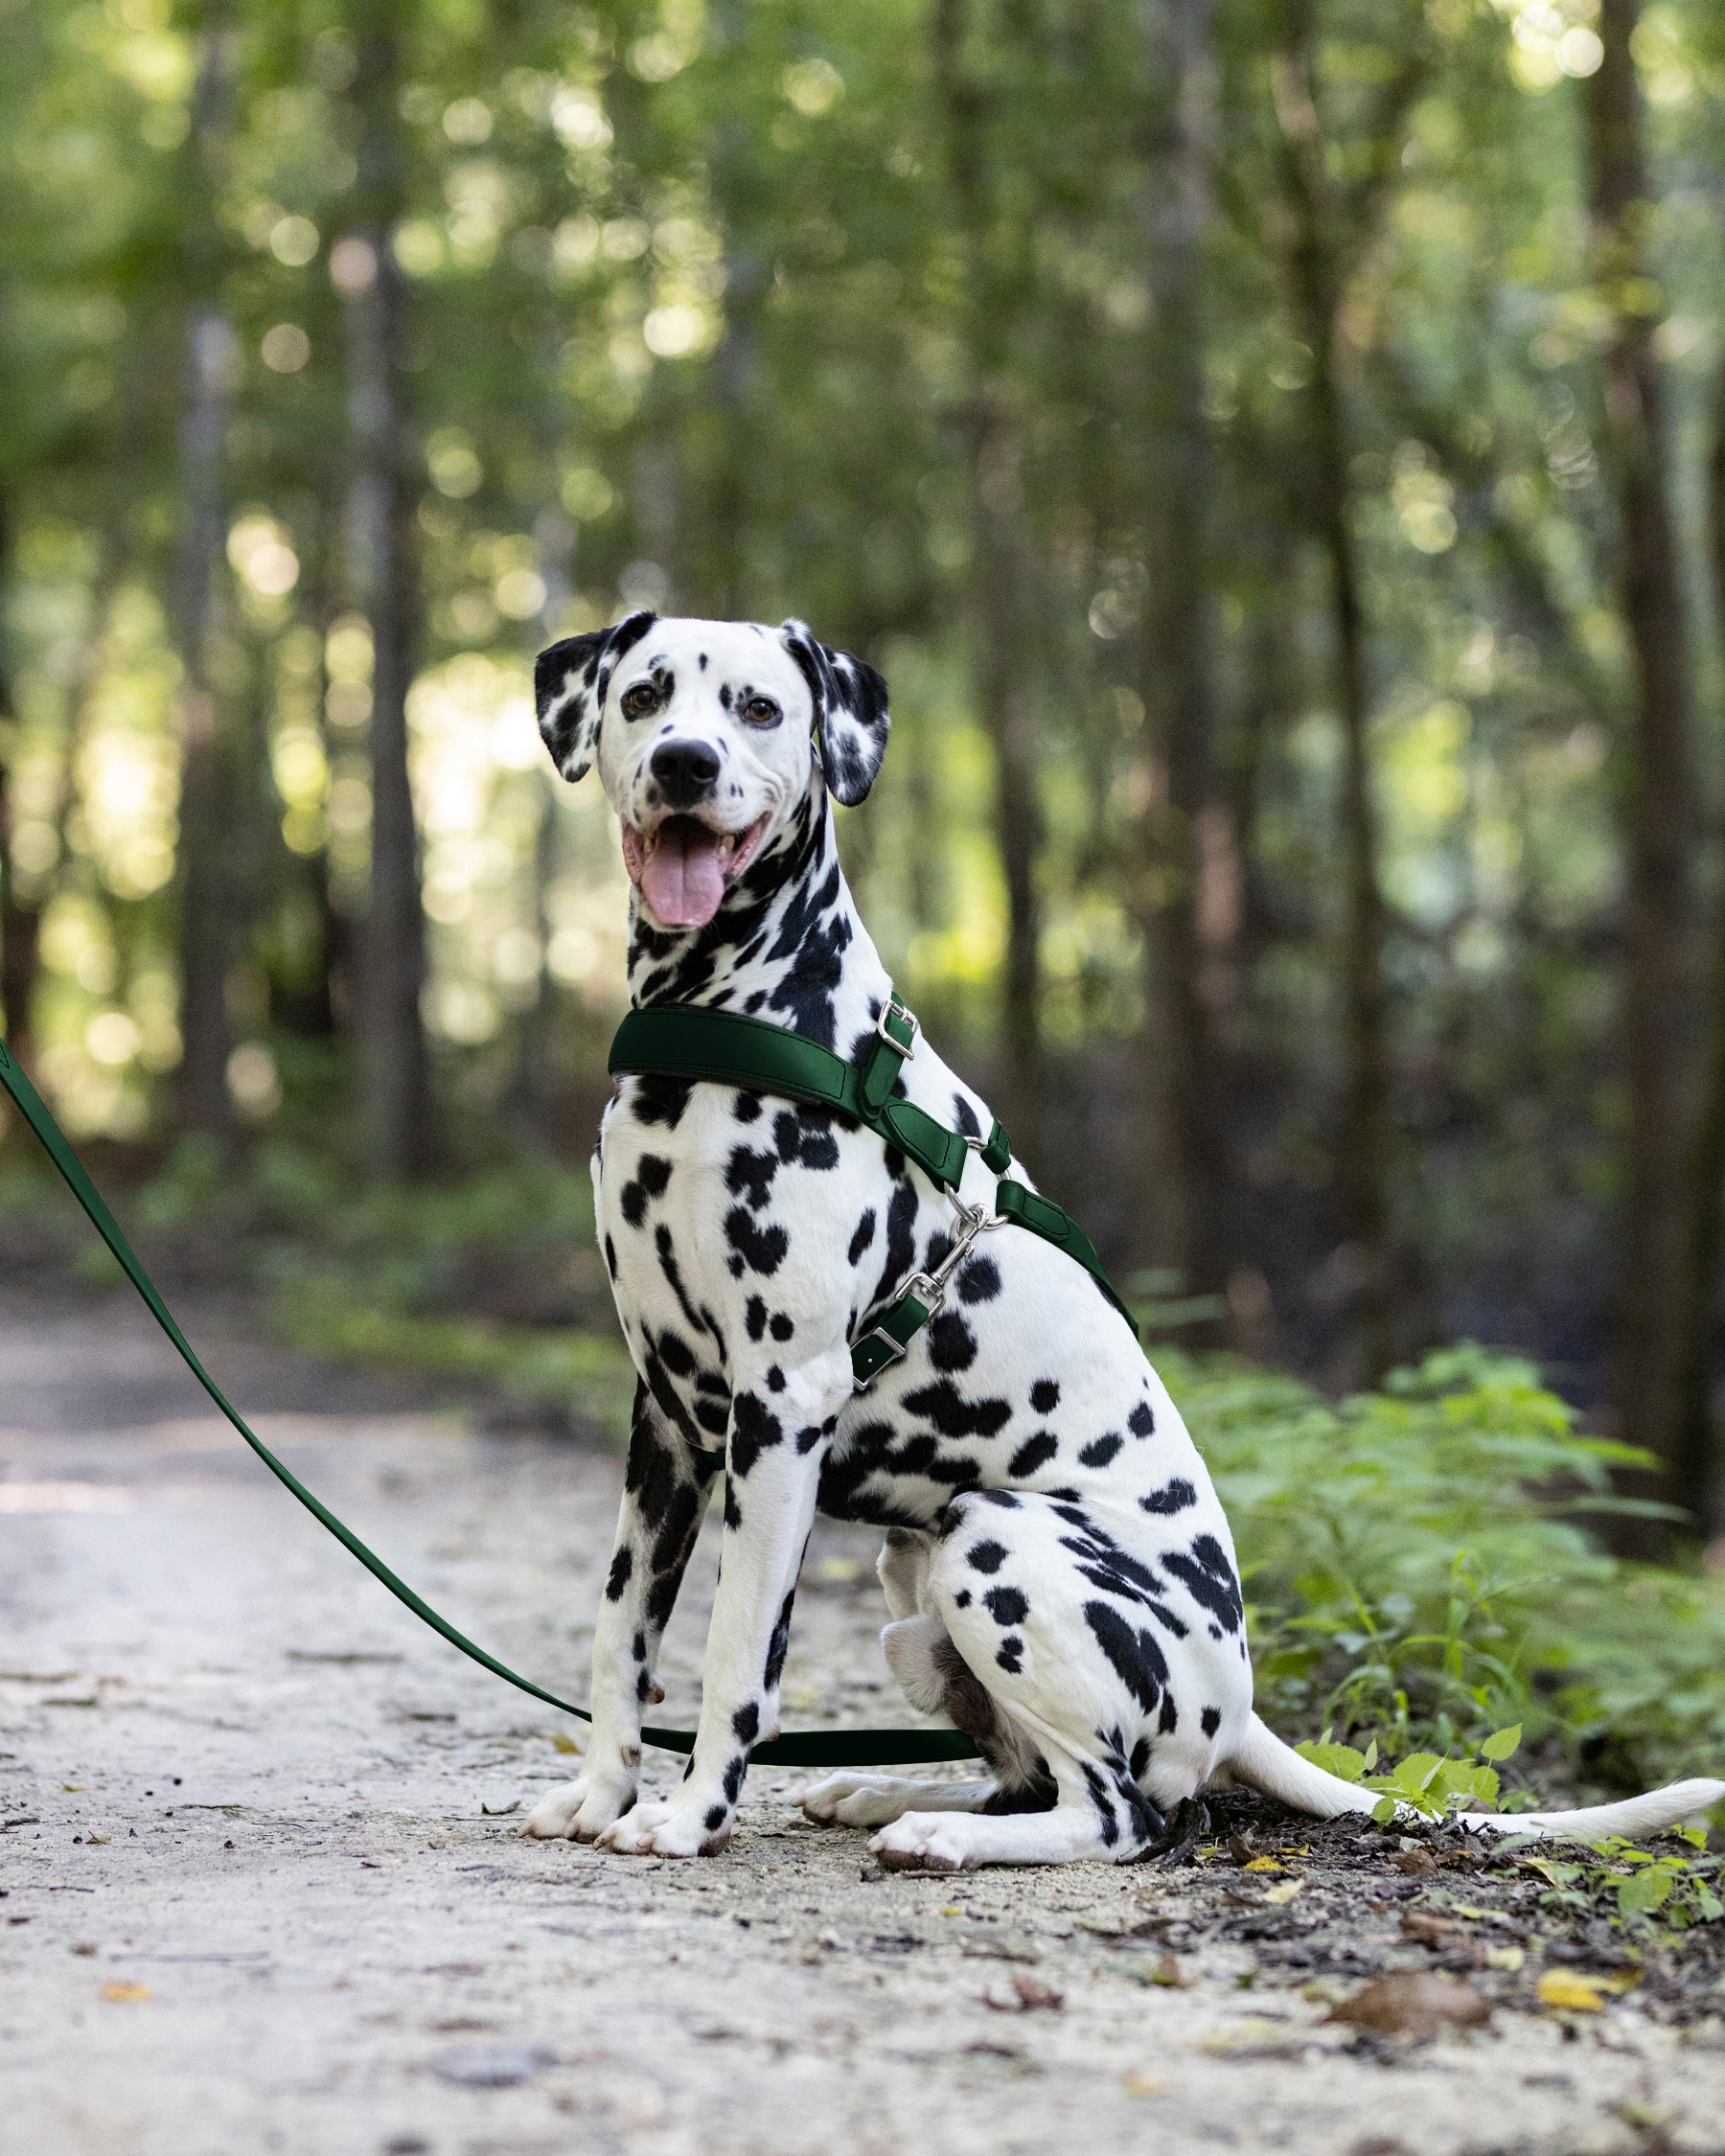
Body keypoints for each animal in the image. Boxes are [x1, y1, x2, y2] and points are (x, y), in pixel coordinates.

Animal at [519, 612, 1725, 1871]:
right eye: (646, 695)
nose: (684, 765)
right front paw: (599, 1793)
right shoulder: (667, 1417)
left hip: (994, 1541)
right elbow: (620, 1631)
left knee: (1116, 1816)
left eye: (757, 709)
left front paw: (690, 1814)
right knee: (1026, 1778)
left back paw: (939, 1831)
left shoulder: (780, 1407)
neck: (728, 1025)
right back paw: (891, 1795)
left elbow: (736, 1652)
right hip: (915, 1580)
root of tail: (1240, 1709)